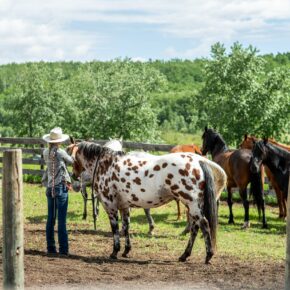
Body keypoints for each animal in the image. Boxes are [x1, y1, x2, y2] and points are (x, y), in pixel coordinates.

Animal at [68, 142, 227, 264]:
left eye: (72, 158)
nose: (74, 176)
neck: (106, 164)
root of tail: (199, 162)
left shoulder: (110, 207)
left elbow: (115, 230)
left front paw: (114, 252)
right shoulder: (124, 207)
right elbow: (126, 227)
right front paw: (126, 251)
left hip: (192, 205)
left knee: (204, 225)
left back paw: (208, 256)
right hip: (193, 206)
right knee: (194, 228)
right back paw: (184, 255)